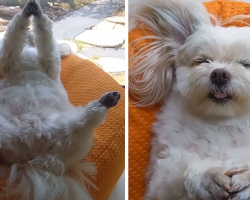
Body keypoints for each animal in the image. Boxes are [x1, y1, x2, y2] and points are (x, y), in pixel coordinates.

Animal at [0, 0, 120, 200]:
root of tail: (32, 158)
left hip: (72, 138)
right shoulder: (8, 59)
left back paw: (108, 100)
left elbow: (40, 32)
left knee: (86, 120)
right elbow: (17, 32)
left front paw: (33, 11)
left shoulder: (47, 60)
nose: (30, 37)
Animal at [130, 0, 250, 200]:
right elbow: (177, 175)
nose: (219, 74)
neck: (222, 121)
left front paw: (245, 180)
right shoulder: (159, 179)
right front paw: (208, 177)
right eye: (202, 61)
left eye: (246, 64)